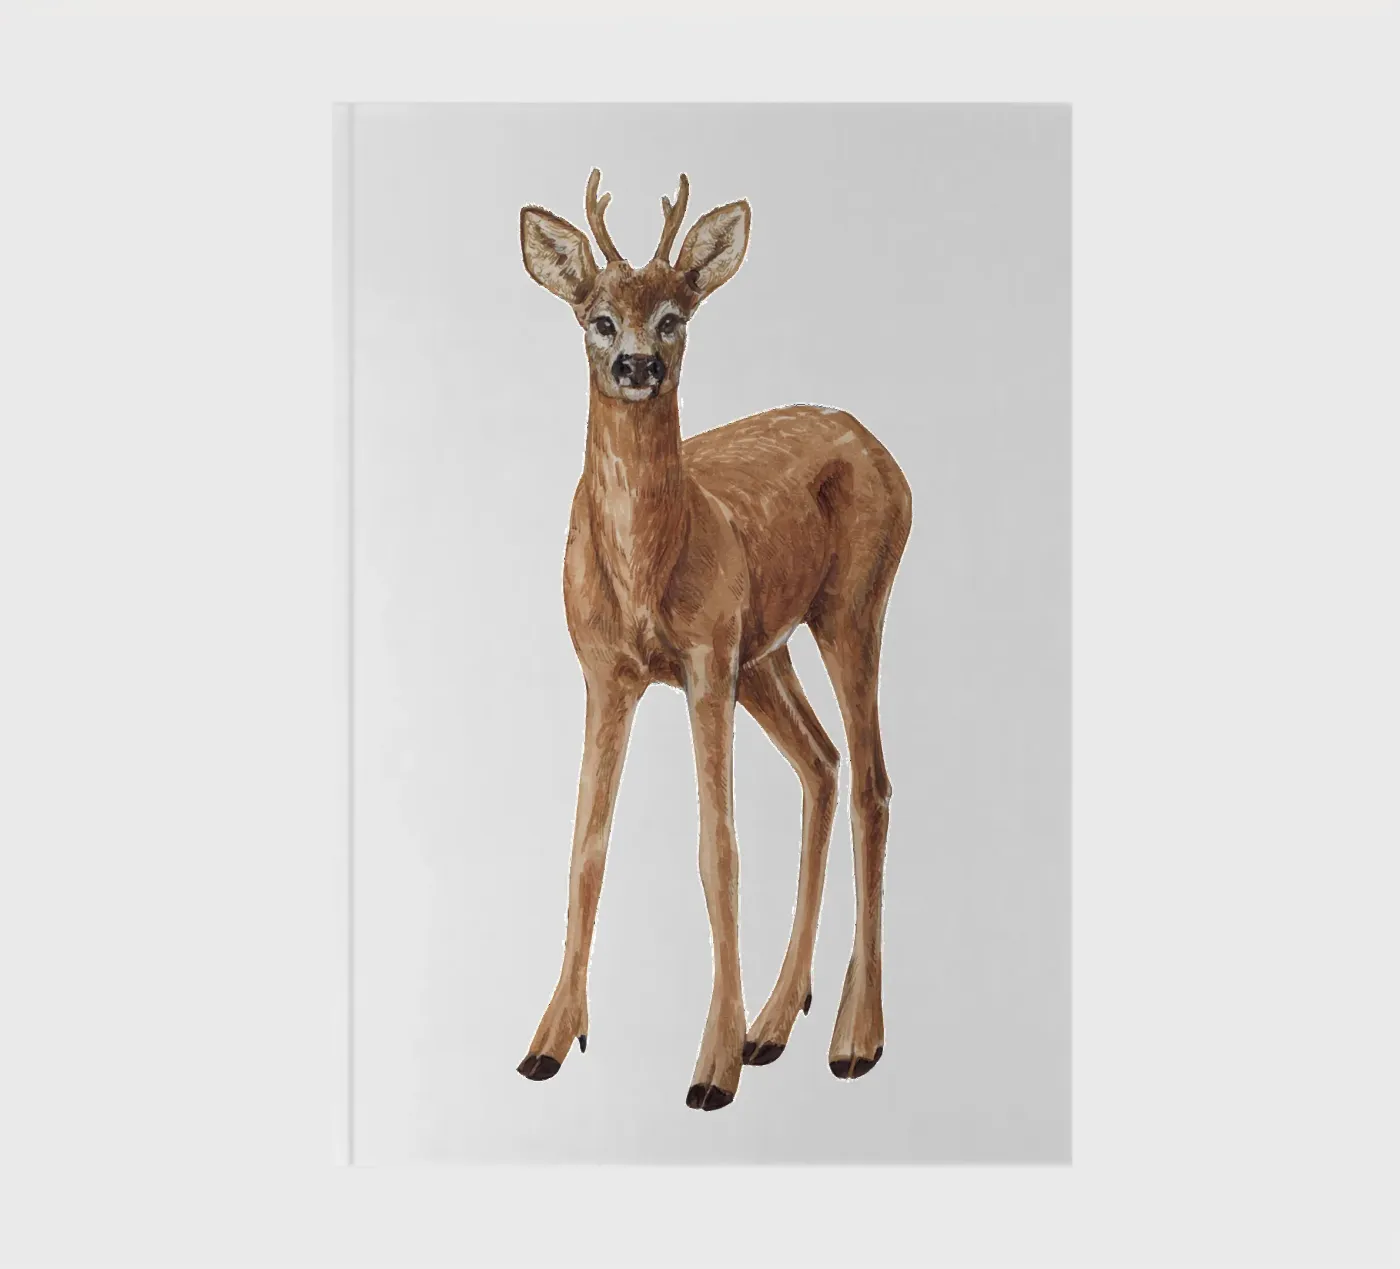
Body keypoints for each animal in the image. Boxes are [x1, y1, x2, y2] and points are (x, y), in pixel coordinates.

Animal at [515, 170, 912, 1111]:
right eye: (597, 317)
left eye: (674, 315)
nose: (638, 366)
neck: (646, 568)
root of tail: (885, 453)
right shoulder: (605, 671)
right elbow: (585, 848)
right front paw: (550, 1039)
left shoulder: (703, 662)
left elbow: (717, 850)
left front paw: (710, 1067)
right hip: (767, 651)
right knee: (823, 762)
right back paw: (775, 1020)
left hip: (851, 607)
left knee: (873, 780)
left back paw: (853, 1039)